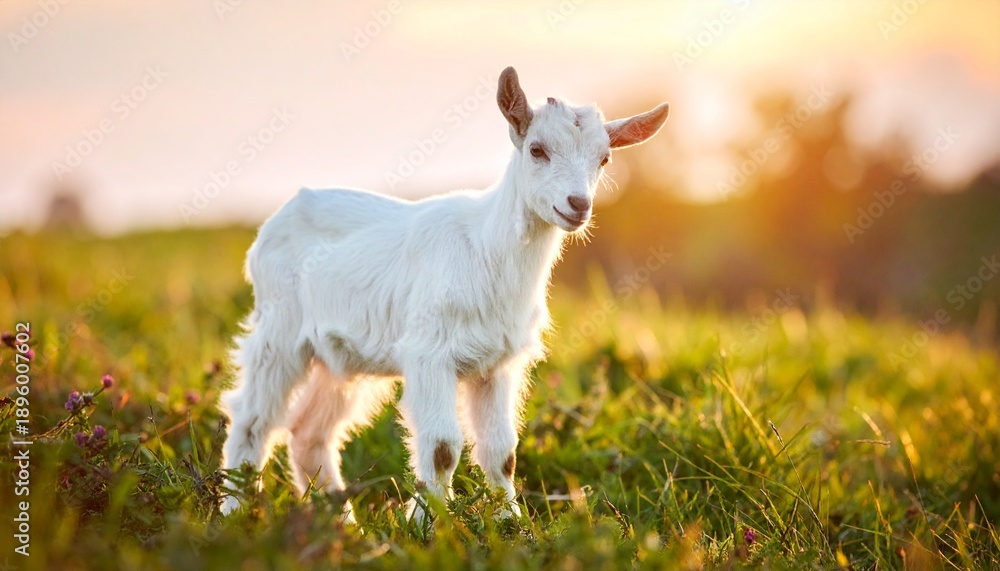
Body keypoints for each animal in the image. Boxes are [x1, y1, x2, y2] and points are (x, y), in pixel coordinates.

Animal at [218, 66, 669, 521]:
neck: (486, 248)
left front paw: (510, 521)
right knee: (252, 419)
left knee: (308, 433)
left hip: (339, 358)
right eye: (537, 149)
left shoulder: (497, 364)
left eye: (604, 158)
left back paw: (341, 525)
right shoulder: (429, 353)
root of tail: (274, 223)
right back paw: (235, 512)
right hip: (279, 329)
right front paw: (427, 523)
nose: (577, 204)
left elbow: (501, 451)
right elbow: (441, 448)